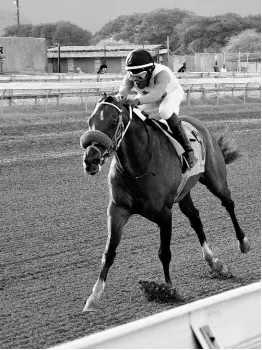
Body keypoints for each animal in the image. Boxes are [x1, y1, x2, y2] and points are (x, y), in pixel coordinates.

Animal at [81, 94, 251, 310]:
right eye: (90, 121)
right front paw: (94, 297)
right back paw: (214, 261)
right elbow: (109, 252)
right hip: (184, 193)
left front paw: (169, 290)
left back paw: (243, 242)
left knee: (228, 204)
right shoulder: (118, 209)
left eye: (112, 123)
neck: (139, 166)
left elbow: (165, 253)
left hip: (215, 179)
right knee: (195, 218)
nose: (90, 160)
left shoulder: (164, 214)